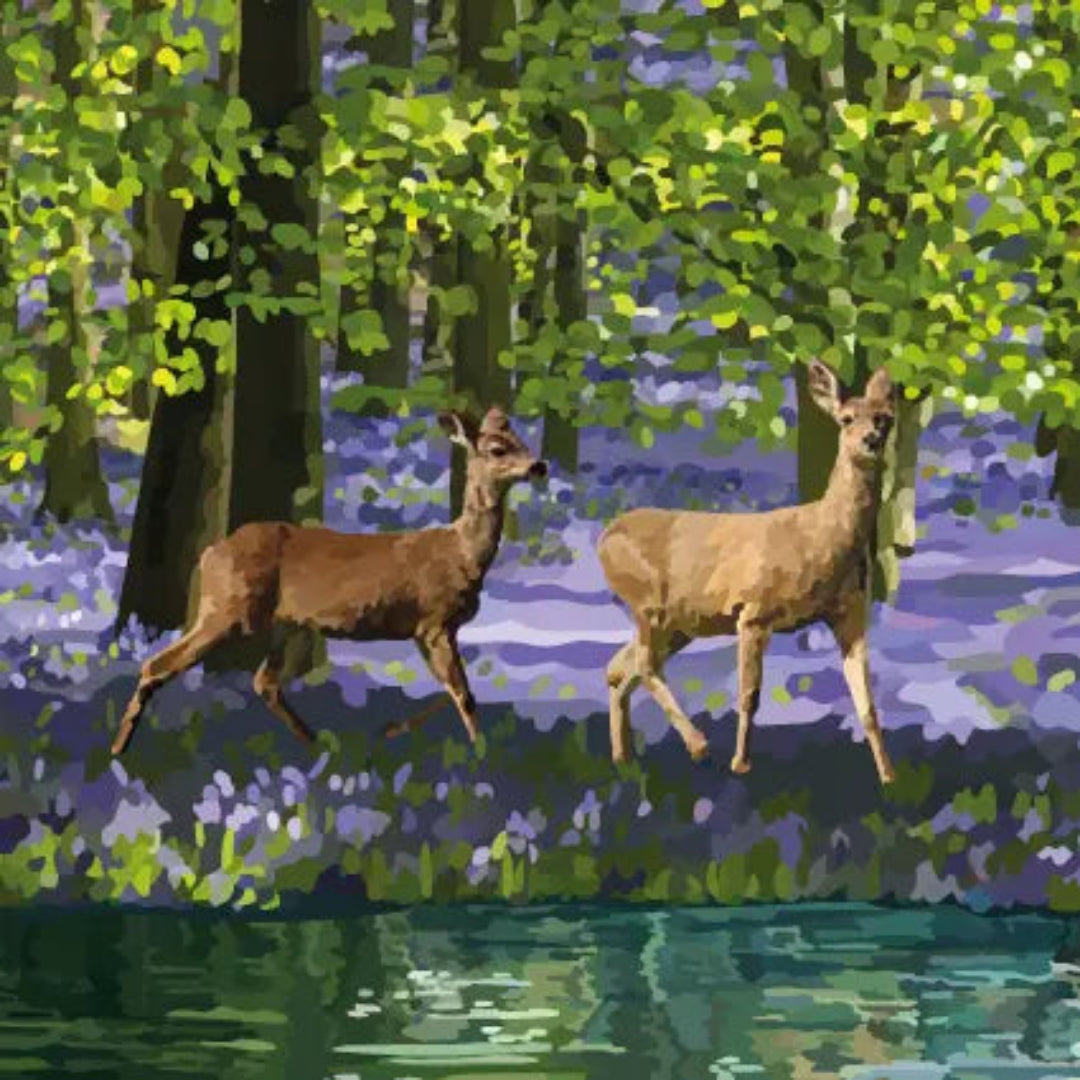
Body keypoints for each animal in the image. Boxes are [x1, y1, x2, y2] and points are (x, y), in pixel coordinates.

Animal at [111, 407, 548, 756]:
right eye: (497, 449)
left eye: (522, 440)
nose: (539, 466)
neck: (463, 554)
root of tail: (210, 552)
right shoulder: (435, 621)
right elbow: (464, 693)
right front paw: (481, 754)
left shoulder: (427, 630)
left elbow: (455, 691)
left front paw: (404, 733)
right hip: (228, 608)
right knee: (157, 664)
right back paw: (118, 750)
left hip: (284, 622)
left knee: (264, 682)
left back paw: (319, 745)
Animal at [597, 360, 898, 786]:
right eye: (846, 419)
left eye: (885, 418)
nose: (871, 440)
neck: (821, 540)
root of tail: (603, 537)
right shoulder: (754, 610)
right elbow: (749, 696)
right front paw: (740, 765)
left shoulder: (850, 613)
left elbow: (867, 704)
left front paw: (888, 776)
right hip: (647, 600)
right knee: (643, 665)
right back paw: (697, 745)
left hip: (680, 623)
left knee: (617, 668)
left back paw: (624, 758)